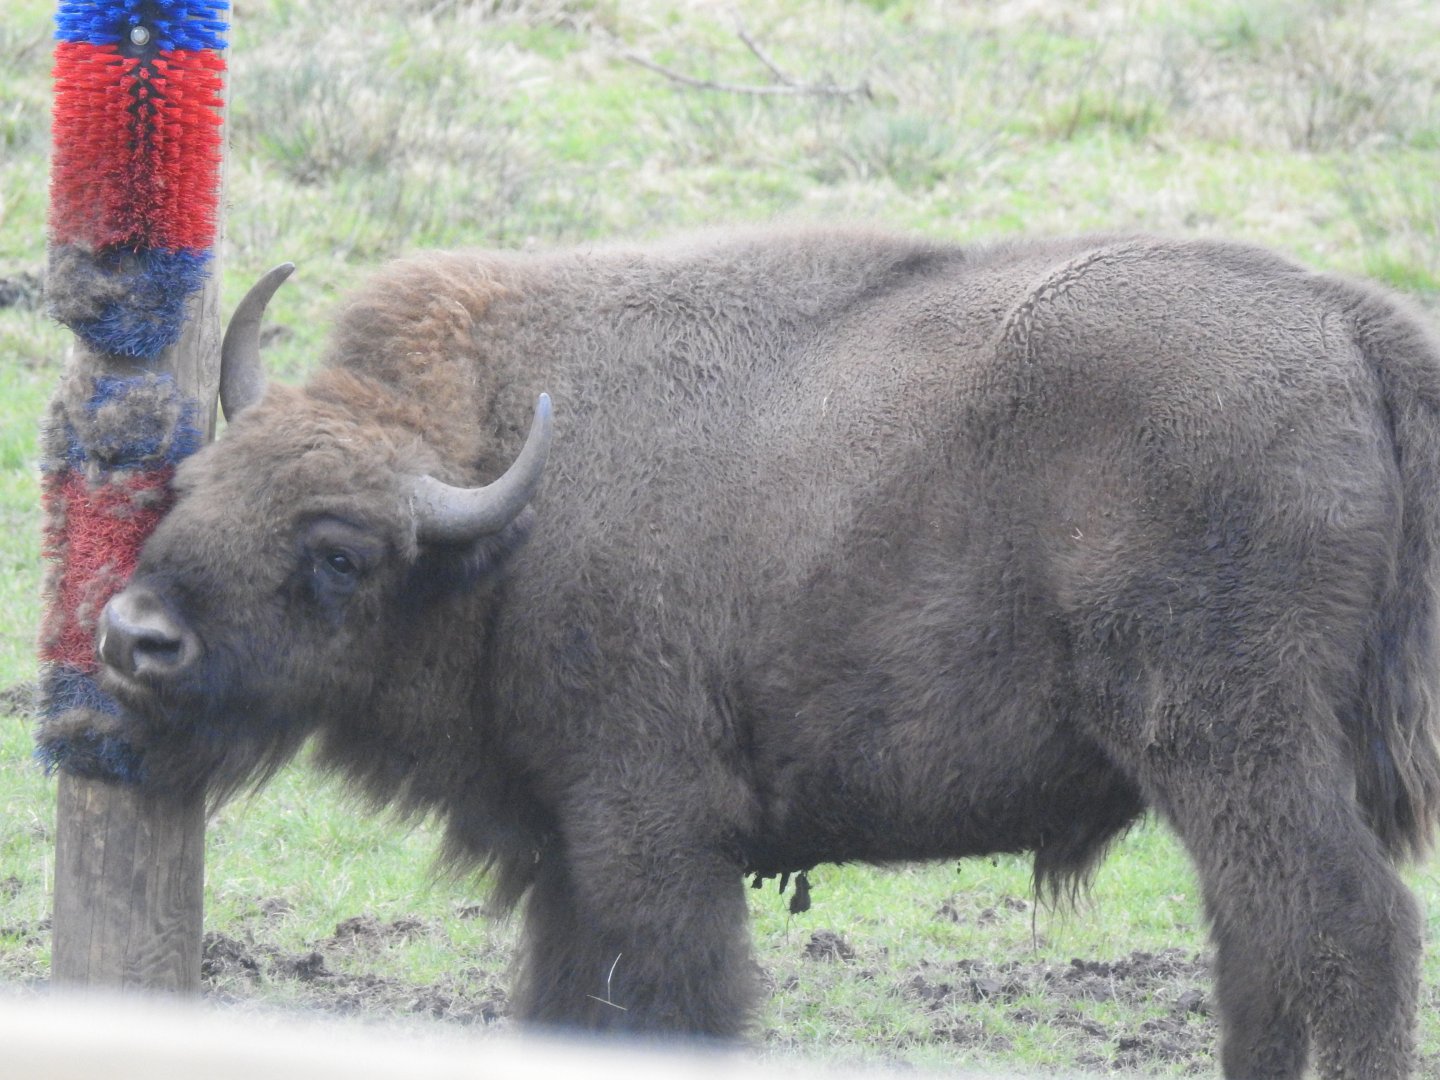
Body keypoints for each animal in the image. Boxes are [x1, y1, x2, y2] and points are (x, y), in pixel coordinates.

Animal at [95, 229, 1440, 1078]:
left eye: (339, 551)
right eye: (200, 484)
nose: (133, 636)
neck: (499, 509)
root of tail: (1348, 327)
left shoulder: (655, 840)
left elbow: (683, 1007)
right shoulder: (569, 858)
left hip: (1231, 744)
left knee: (1350, 932)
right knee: (1262, 949)